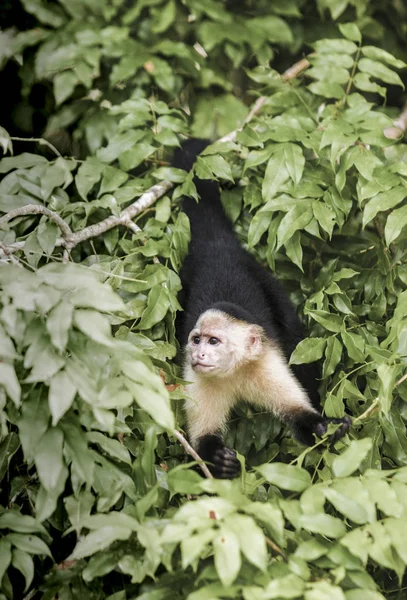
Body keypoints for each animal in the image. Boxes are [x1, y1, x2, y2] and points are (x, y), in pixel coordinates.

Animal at [174, 137, 352, 478]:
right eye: (197, 340)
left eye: (214, 341)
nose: (199, 354)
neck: (235, 372)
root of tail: (217, 246)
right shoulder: (198, 377)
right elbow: (201, 441)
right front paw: (218, 459)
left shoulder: (265, 365)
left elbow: (298, 413)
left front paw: (326, 427)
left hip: (260, 274)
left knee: (294, 337)